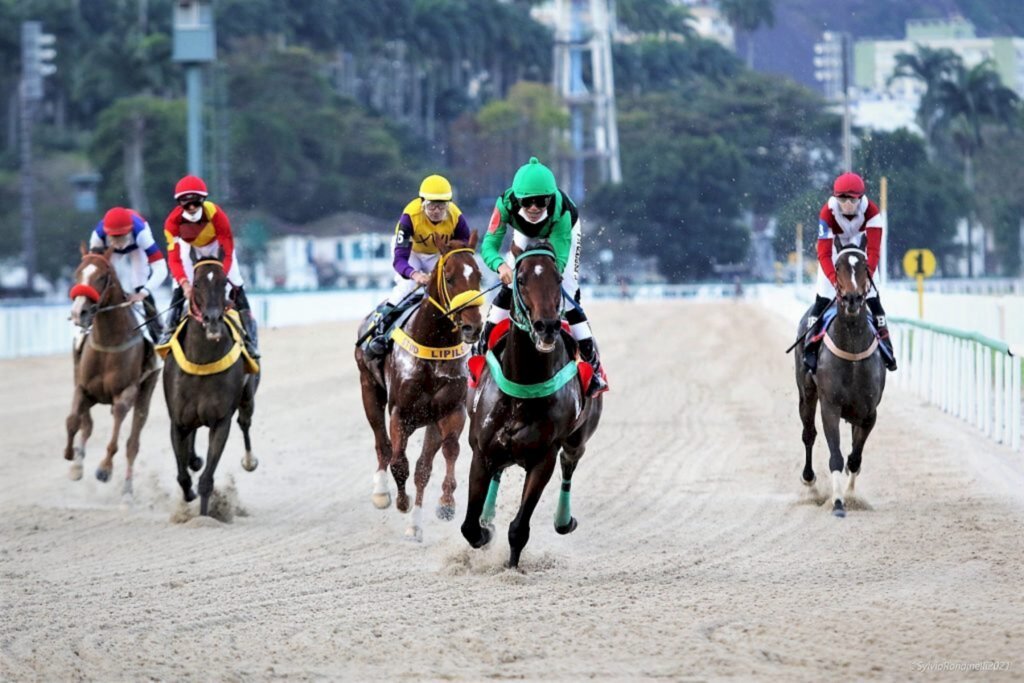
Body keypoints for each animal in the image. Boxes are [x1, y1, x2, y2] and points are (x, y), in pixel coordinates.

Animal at [65, 245, 159, 497]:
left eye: (101, 277)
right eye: (77, 273)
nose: (79, 312)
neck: (108, 342)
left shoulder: (126, 393)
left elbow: (118, 425)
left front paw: (105, 469)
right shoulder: (82, 387)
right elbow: (73, 421)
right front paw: (72, 458)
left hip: (146, 393)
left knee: (133, 443)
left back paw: (127, 490)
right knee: (87, 426)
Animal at [161, 248, 260, 516]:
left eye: (224, 282)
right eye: (196, 283)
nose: (213, 318)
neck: (201, 361)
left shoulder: (221, 421)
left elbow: (206, 480)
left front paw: (204, 517)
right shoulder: (177, 421)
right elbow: (182, 475)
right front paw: (189, 495)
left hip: (248, 395)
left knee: (245, 422)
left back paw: (249, 460)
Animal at [354, 232, 485, 540]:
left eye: (479, 276)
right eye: (449, 278)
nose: (473, 327)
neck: (433, 345)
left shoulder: (450, 410)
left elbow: (448, 453)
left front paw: (446, 504)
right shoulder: (401, 412)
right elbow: (398, 462)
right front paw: (401, 501)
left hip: (429, 420)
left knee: (423, 466)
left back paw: (415, 524)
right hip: (369, 389)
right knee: (382, 444)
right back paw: (382, 492)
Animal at [462, 242, 602, 569]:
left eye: (558, 279)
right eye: (522, 279)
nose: (546, 326)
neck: (522, 389)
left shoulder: (543, 458)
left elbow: (518, 529)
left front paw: (511, 568)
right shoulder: (481, 450)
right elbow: (470, 526)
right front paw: (485, 531)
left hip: (578, 438)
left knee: (570, 463)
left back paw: (564, 520)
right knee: (498, 472)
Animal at [794, 245, 884, 518]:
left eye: (864, 266)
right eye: (838, 266)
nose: (852, 299)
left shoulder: (869, 412)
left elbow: (855, 457)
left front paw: (851, 495)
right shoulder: (830, 407)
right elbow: (836, 455)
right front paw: (837, 502)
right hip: (806, 394)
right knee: (808, 434)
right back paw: (809, 480)